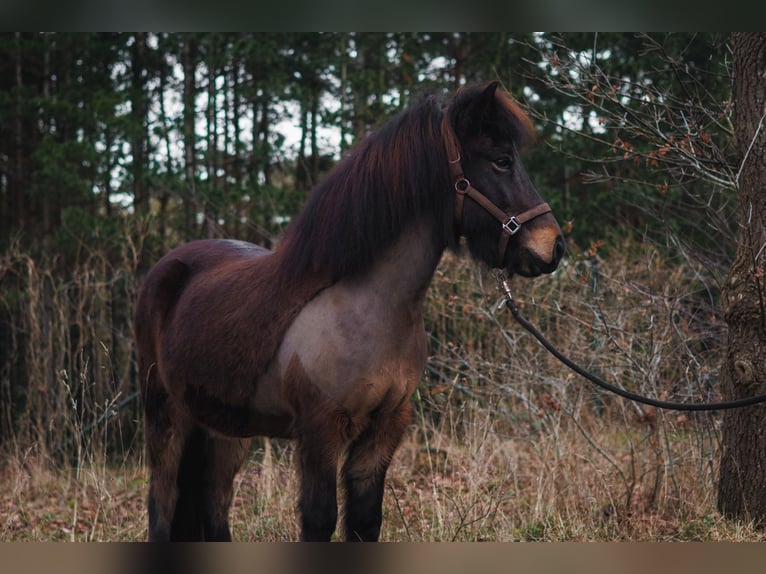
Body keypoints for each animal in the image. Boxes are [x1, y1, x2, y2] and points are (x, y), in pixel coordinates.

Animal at [134, 81, 566, 542]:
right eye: (502, 161)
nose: (553, 246)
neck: (368, 309)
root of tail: (167, 268)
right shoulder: (319, 431)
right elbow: (320, 519)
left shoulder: (386, 426)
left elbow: (364, 520)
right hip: (165, 415)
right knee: (162, 502)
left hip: (225, 430)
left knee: (215, 506)